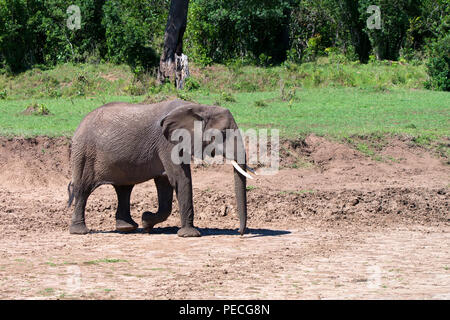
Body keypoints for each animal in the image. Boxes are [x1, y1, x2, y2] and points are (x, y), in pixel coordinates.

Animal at [67, 100, 250, 238]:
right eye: (222, 134)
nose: (240, 233)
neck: (199, 107)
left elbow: (165, 184)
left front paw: (146, 222)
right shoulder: (167, 143)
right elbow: (180, 178)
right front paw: (190, 235)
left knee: (124, 189)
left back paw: (127, 228)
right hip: (84, 153)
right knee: (83, 189)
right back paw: (80, 231)